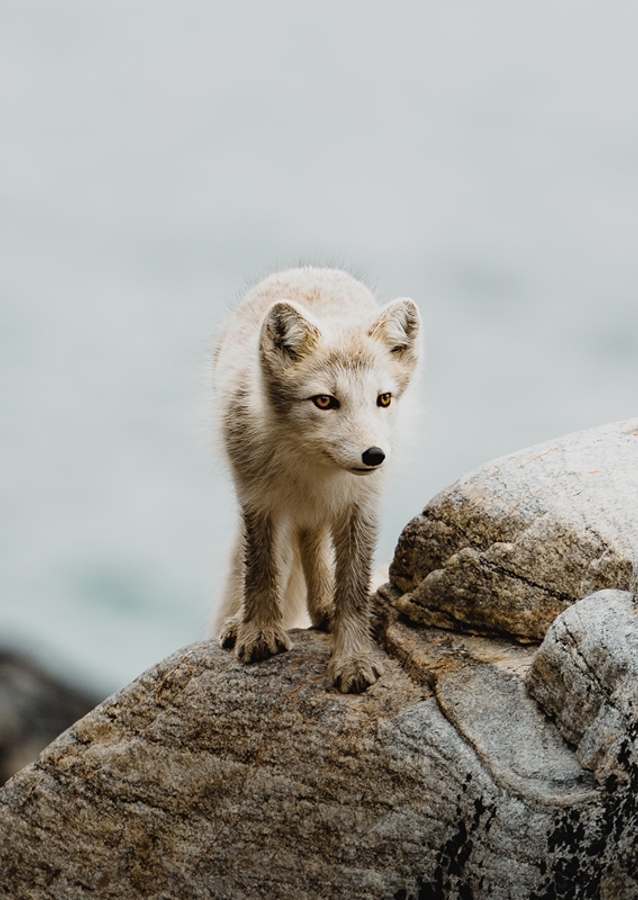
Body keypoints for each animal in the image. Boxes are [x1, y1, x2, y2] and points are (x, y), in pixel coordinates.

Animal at [212, 267, 421, 693]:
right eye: (324, 401)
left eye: (384, 399)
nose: (374, 455)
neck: (314, 469)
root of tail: (309, 269)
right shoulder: (259, 500)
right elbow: (260, 568)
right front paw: (258, 633)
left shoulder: (362, 506)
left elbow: (354, 590)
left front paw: (352, 659)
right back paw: (241, 620)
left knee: (312, 543)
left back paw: (325, 608)